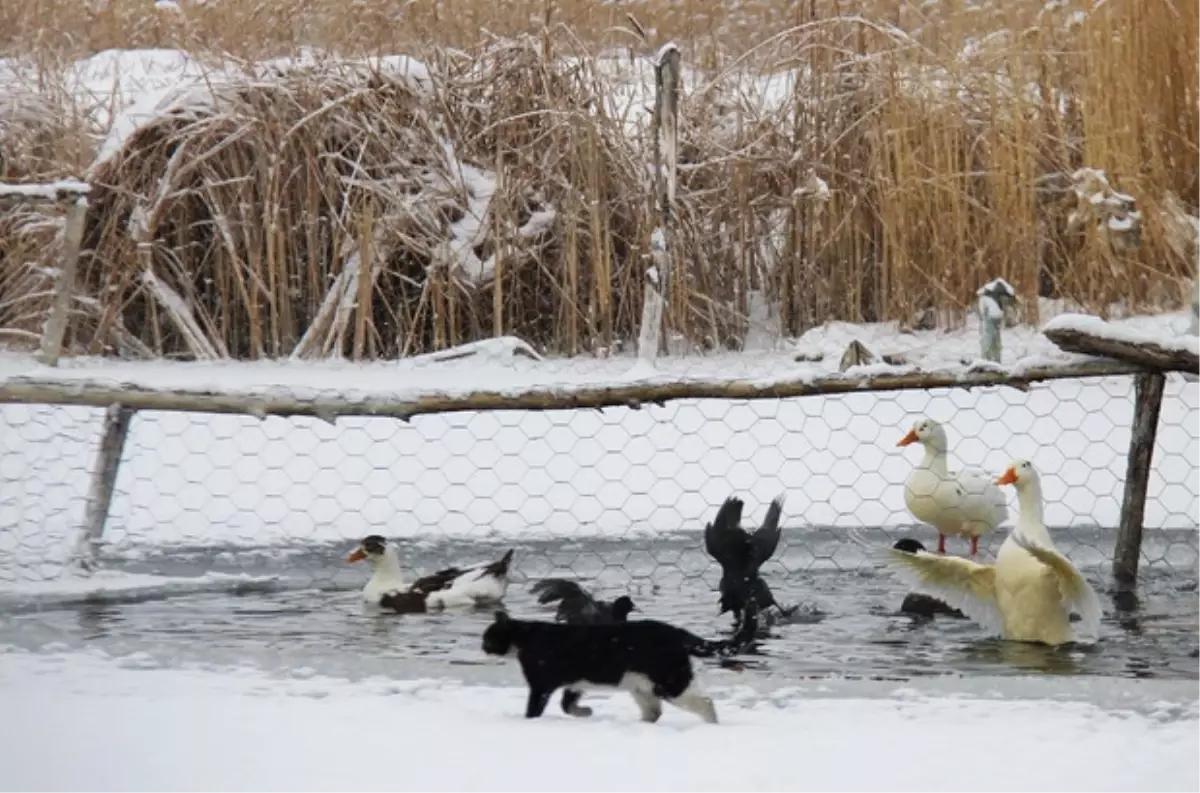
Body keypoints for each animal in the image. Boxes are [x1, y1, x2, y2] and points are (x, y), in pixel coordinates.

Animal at [482, 607, 753, 724]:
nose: (482, 648)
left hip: (670, 681)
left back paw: (712, 725)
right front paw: (586, 712)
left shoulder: (541, 685)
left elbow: (534, 709)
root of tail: (678, 633)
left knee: (705, 701)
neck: (524, 637)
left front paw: (528, 723)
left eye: (487, 638)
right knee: (654, 712)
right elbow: (567, 705)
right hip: (642, 686)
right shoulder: (575, 682)